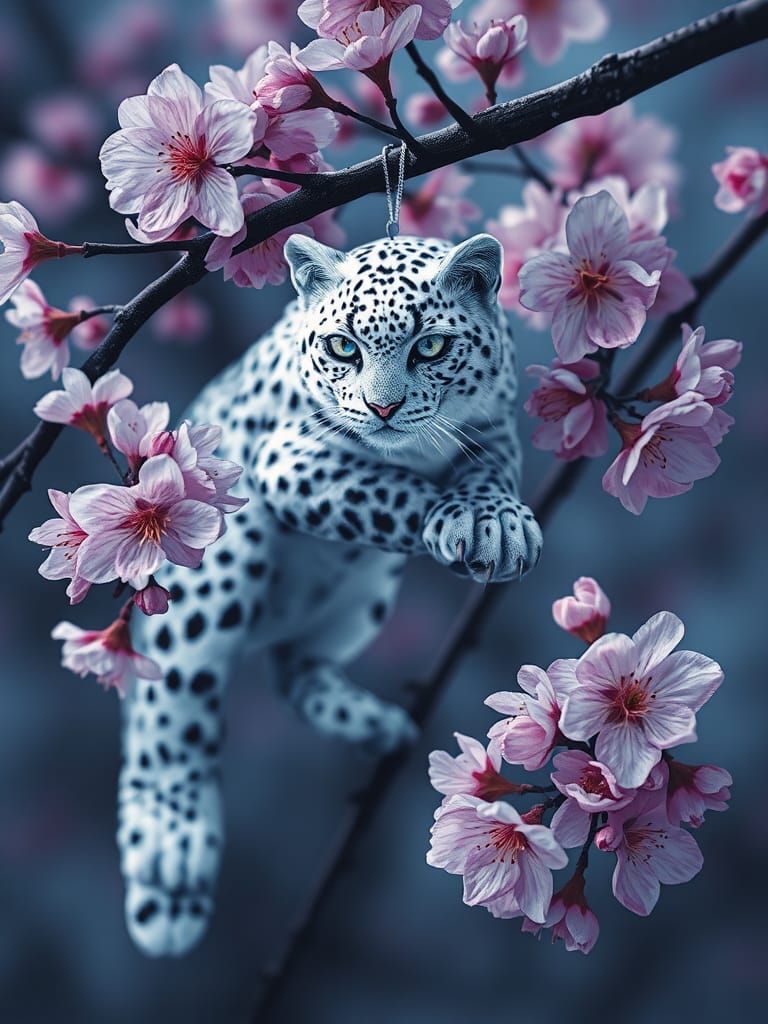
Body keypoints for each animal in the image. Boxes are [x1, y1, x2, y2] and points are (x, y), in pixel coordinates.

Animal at [118, 231, 543, 956]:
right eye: (343, 347)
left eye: (432, 345)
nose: (383, 409)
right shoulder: (291, 460)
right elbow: (387, 489)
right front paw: (456, 517)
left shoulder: (495, 431)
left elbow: (488, 470)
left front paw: (493, 518)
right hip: (213, 576)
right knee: (169, 710)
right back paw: (172, 858)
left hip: (363, 600)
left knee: (292, 667)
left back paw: (377, 725)